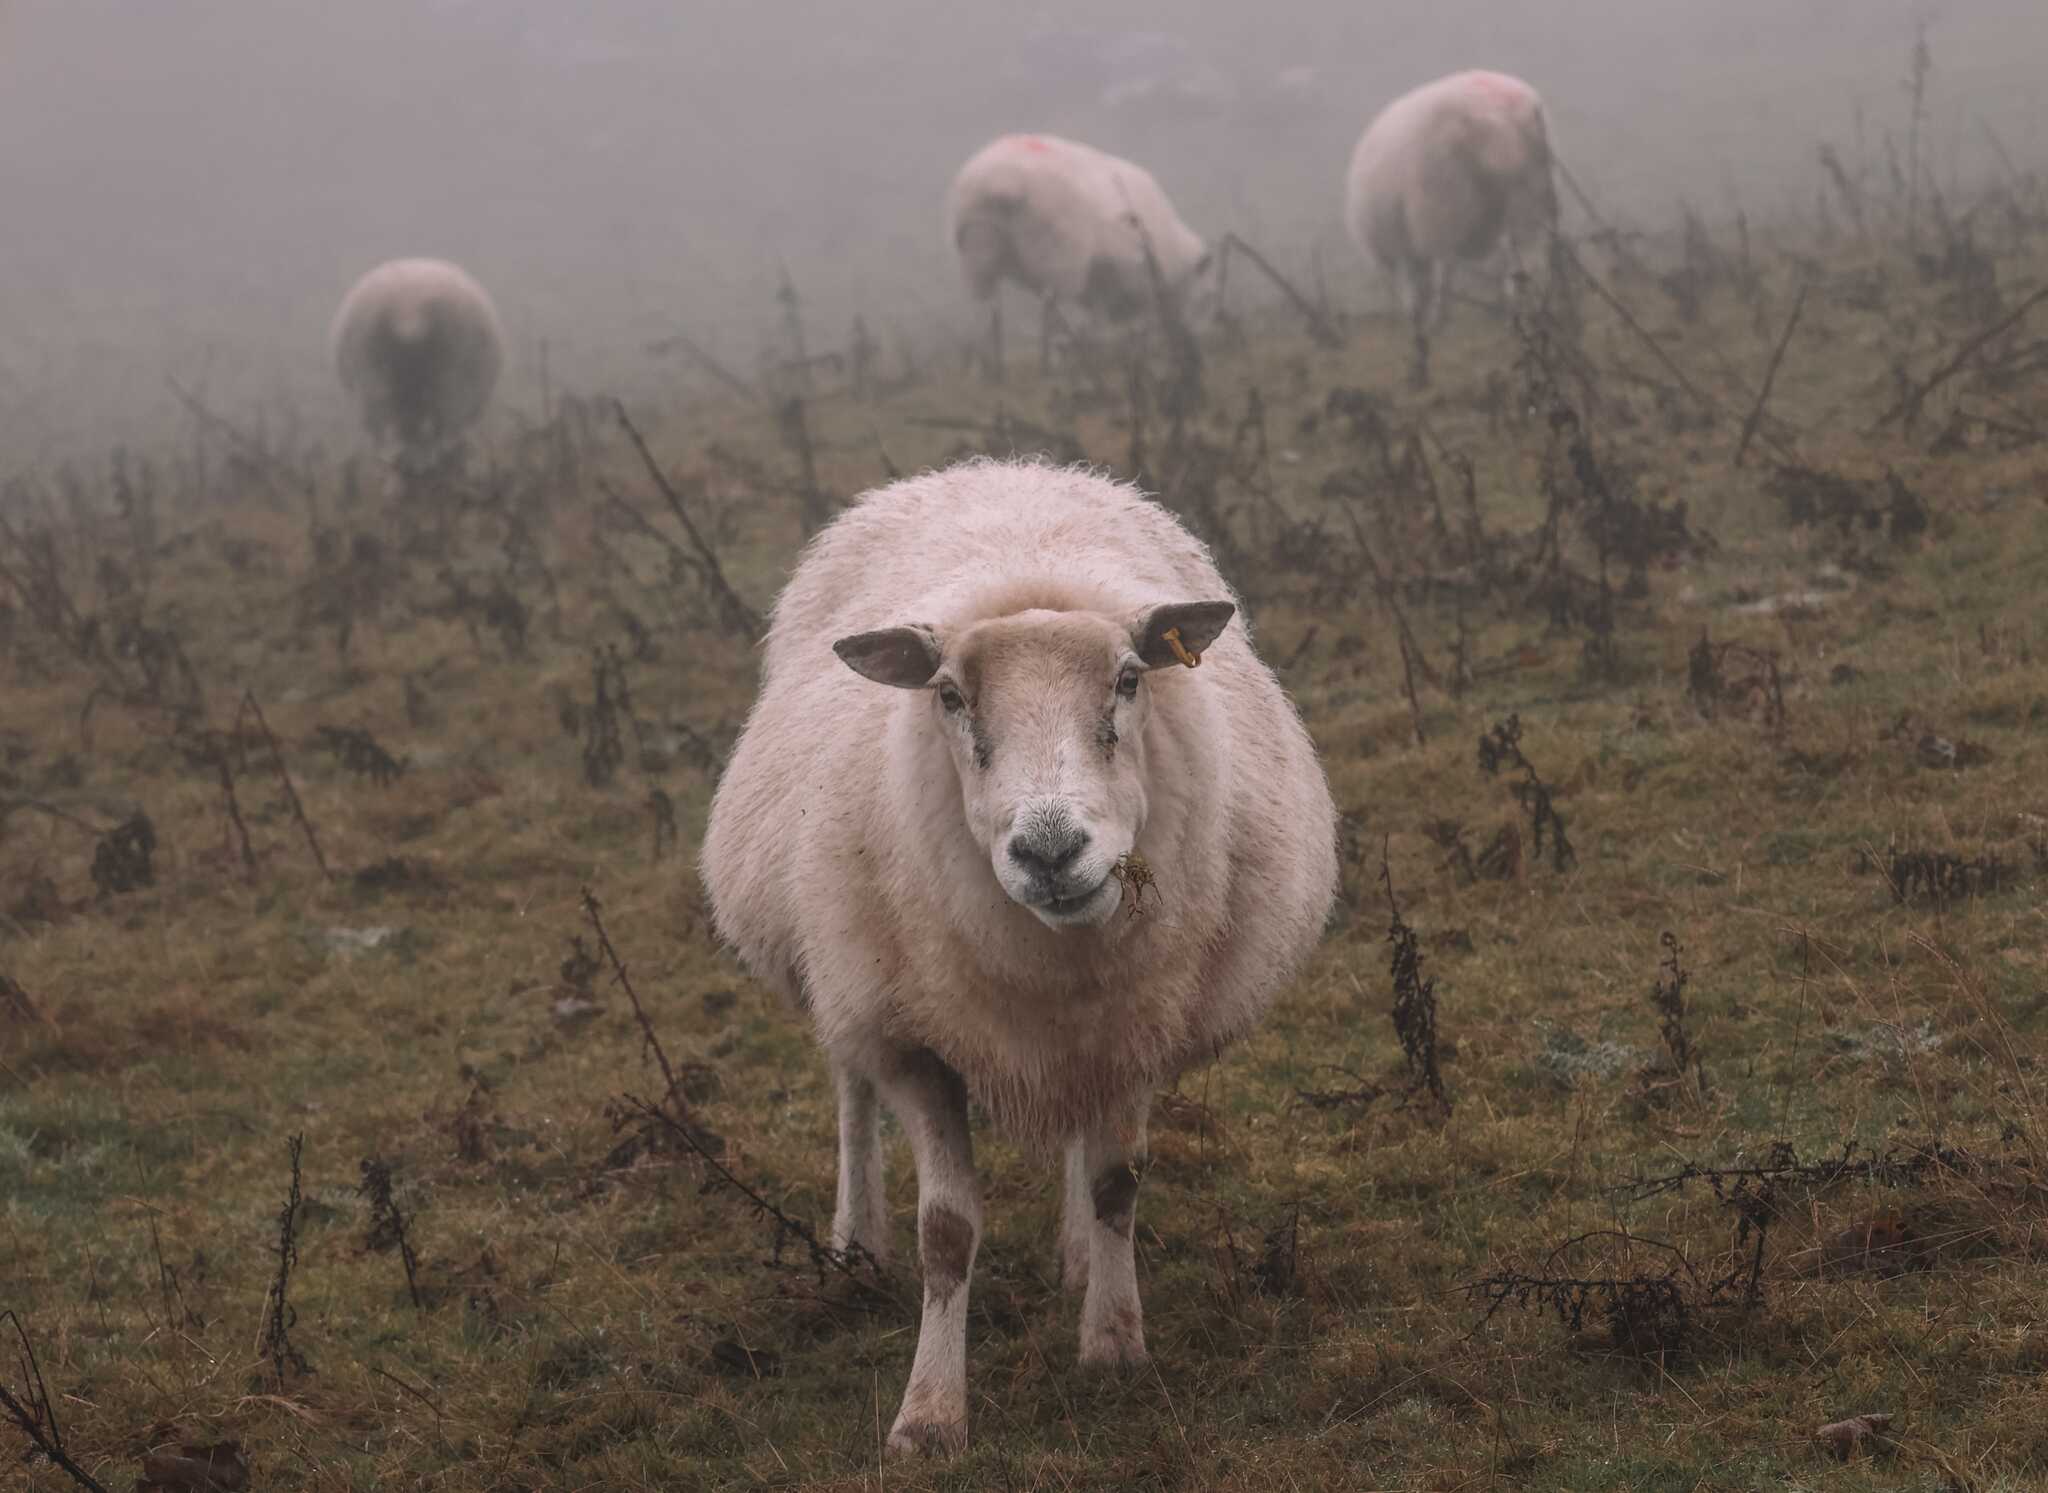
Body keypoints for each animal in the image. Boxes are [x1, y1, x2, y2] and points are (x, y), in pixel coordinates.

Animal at [701, 458, 1337, 1456]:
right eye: (949, 696)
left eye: (1128, 678)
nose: (1049, 850)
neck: (1056, 960)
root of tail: (989, 468)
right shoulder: (914, 1042)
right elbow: (947, 1231)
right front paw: (929, 1413)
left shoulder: (1135, 1021)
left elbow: (1116, 1182)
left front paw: (1113, 1342)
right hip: (839, 968)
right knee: (849, 1087)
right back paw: (856, 1242)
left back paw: (1077, 1255)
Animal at [945, 134, 1210, 376]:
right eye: (1203, 295)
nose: (1191, 337)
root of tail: (1001, 179)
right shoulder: (1136, 278)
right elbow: (1138, 321)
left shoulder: (1105, 281)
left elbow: (1099, 316)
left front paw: (1102, 344)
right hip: (1056, 252)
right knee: (1050, 305)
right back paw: (1051, 362)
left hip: (978, 243)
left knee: (986, 307)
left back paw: (989, 368)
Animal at [1344, 70, 1558, 385]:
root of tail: (1498, 113)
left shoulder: (1410, 243)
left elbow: (1417, 298)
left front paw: (1421, 348)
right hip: (1528, 192)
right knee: (1530, 263)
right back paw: (1530, 318)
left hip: (1442, 202)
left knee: (1453, 270)